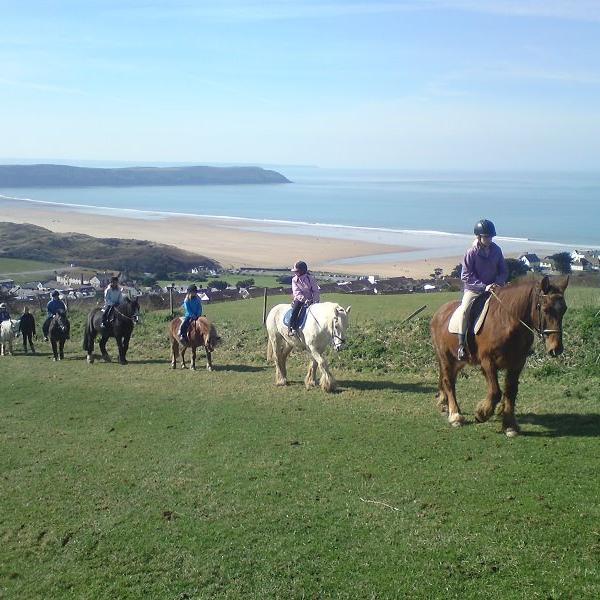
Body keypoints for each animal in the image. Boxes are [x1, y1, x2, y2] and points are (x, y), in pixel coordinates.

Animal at [432, 276, 568, 436]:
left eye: (564, 310)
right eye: (546, 309)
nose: (556, 348)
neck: (506, 322)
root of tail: (439, 313)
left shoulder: (517, 363)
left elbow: (511, 391)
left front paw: (509, 425)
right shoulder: (488, 362)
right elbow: (495, 391)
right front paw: (482, 413)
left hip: (458, 361)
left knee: (451, 380)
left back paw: (448, 407)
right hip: (446, 357)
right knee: (448, 381)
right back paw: (455, 416)